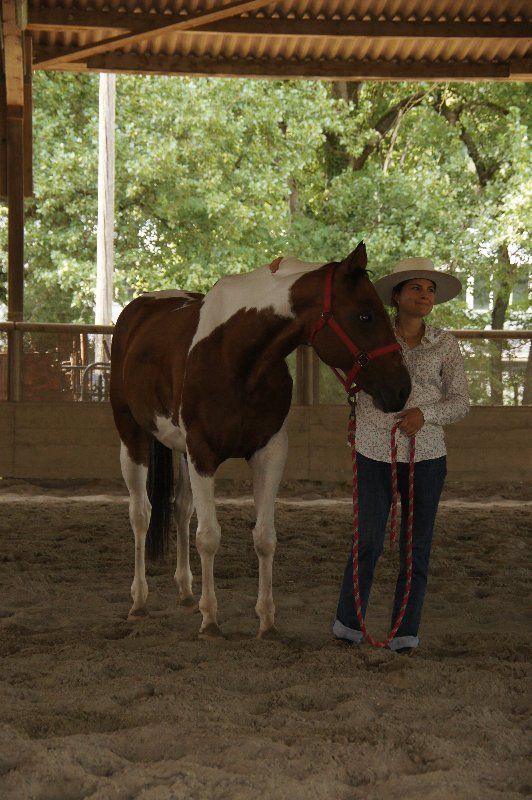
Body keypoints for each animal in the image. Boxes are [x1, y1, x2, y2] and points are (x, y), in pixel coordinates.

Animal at [110, 242, 411, 638]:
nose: (402, 389)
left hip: (181, 452)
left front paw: (266, 621)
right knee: (140, 514)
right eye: (364, 316)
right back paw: (139, 601)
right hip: (132, 436)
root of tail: (140, 309)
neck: (236, 356)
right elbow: (209, 536)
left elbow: (265, 537)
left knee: (181, 509)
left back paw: (187, 593)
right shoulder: (204, 453)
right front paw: (211, 620)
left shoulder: (269, 453)